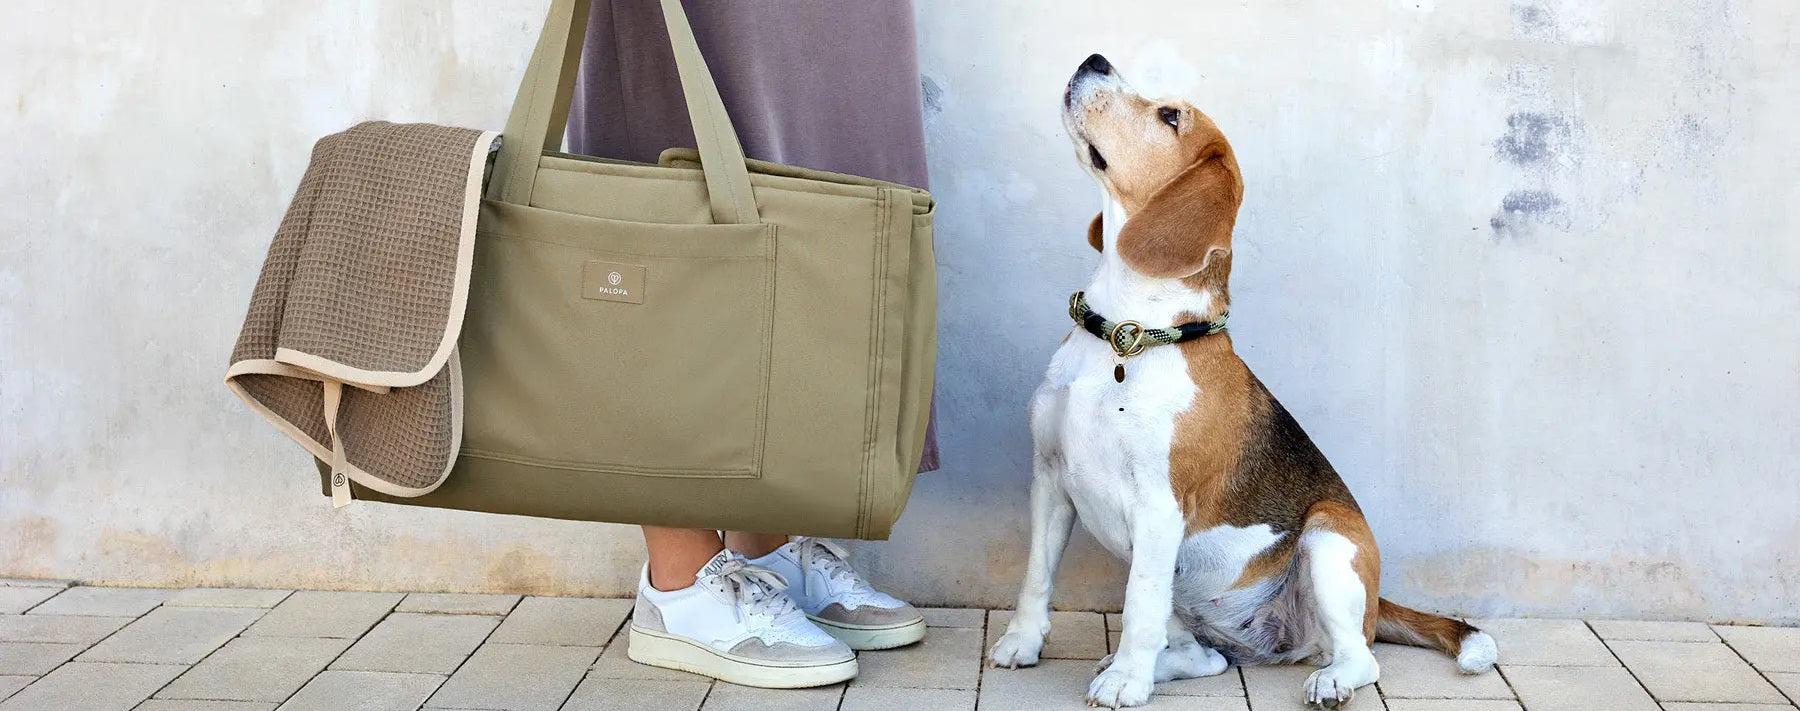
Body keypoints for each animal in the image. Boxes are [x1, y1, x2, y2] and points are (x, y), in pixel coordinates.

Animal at [993, 54, 1497, 705]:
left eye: (1170, 116)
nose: (1094, 60)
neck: (1124, 335)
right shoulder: (1050, 478)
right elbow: (1036, 576)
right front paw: (1023, 643)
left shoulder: (1159, 507)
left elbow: (1138, 606)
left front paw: (1126, 683)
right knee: (1202, 657)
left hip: (1328, 541)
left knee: (1362, 658)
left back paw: (1325, 679)